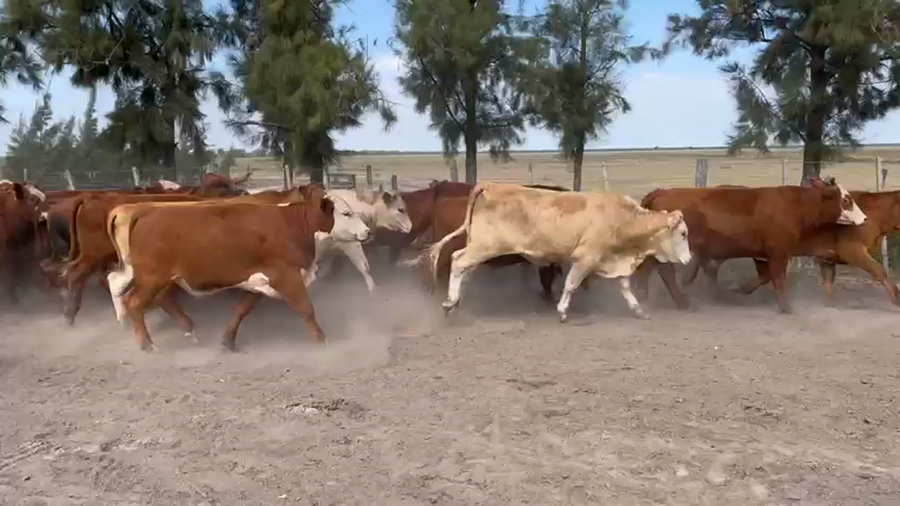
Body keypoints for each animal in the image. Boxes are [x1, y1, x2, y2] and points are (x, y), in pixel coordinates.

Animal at [104, 185, 369, 352]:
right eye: (346, 213)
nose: (367, 231)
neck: (290, 225)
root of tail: (143, 212)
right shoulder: (286, 275)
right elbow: (306, 309)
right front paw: (323, 342)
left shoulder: (259, 280)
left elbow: (242, 309)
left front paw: (228, 340)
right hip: (152, 277)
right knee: (134, 302)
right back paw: (148, 345)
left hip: (163, 278)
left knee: (155, 298)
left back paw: (189, 331)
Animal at [410, 182, 692, 322]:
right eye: (683, 233)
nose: (688, 259)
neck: (621, 218)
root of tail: (488, 186)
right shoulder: (585, 258)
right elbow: (571, 284)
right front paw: (563, 311)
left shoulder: (611, 260)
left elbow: (625, 287)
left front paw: (639, 311)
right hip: (484, 246)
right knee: (457, 262)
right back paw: (450, 302)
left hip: (480, 247)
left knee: (464, 270)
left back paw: (457, 302)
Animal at [632, 179, 867, 313]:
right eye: (846, 200)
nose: (864, 218)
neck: (795, 205)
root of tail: (662, 192)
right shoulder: (779, 252)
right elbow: (777, 279)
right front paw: (786, 307)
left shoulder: (763, 254)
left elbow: (765, 277)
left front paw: (739, 290)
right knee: (665, 272)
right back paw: (682, 303)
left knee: (648, 267)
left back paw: (643, 295)